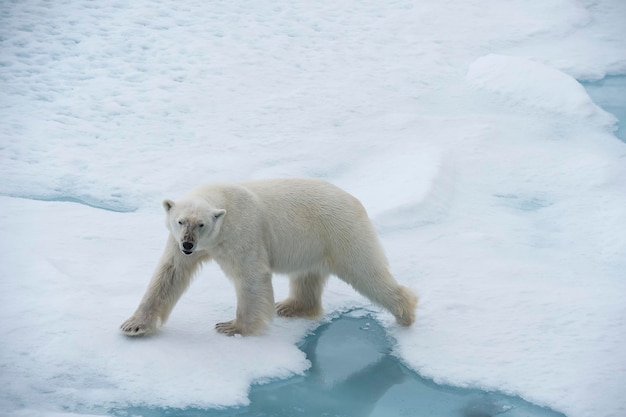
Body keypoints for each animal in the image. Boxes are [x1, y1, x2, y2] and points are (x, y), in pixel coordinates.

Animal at [120, 178, 416, 334]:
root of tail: (355, 200)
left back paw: (405, 312)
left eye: (201, 224)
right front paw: (133, 325)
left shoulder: (242, 232)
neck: (224, 198)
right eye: (181, 221)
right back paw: (291, 306)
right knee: (307, 276)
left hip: (341, 233)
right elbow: (169, 274)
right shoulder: (178, 243)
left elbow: (251, 276)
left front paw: (232, 326)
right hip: (313, 242)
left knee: (366, 272)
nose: (189, 245)